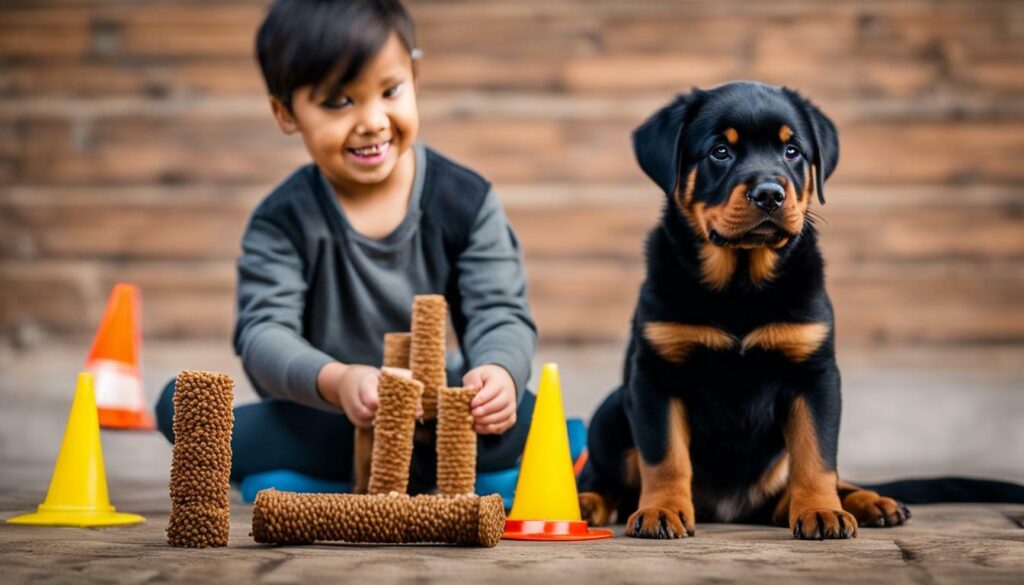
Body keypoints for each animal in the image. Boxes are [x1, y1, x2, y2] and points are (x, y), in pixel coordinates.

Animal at [577, 81, 913, 540]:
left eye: (792, 151)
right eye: (720, 151)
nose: (770, 193)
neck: (740, 283)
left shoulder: (815, 375)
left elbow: (817, 455)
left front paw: (821, 509)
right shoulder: (654, 374)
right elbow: (663, 456)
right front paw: (661, 510)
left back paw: (867, 501)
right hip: (612, 409)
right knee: (607, 478)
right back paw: (585, 502)